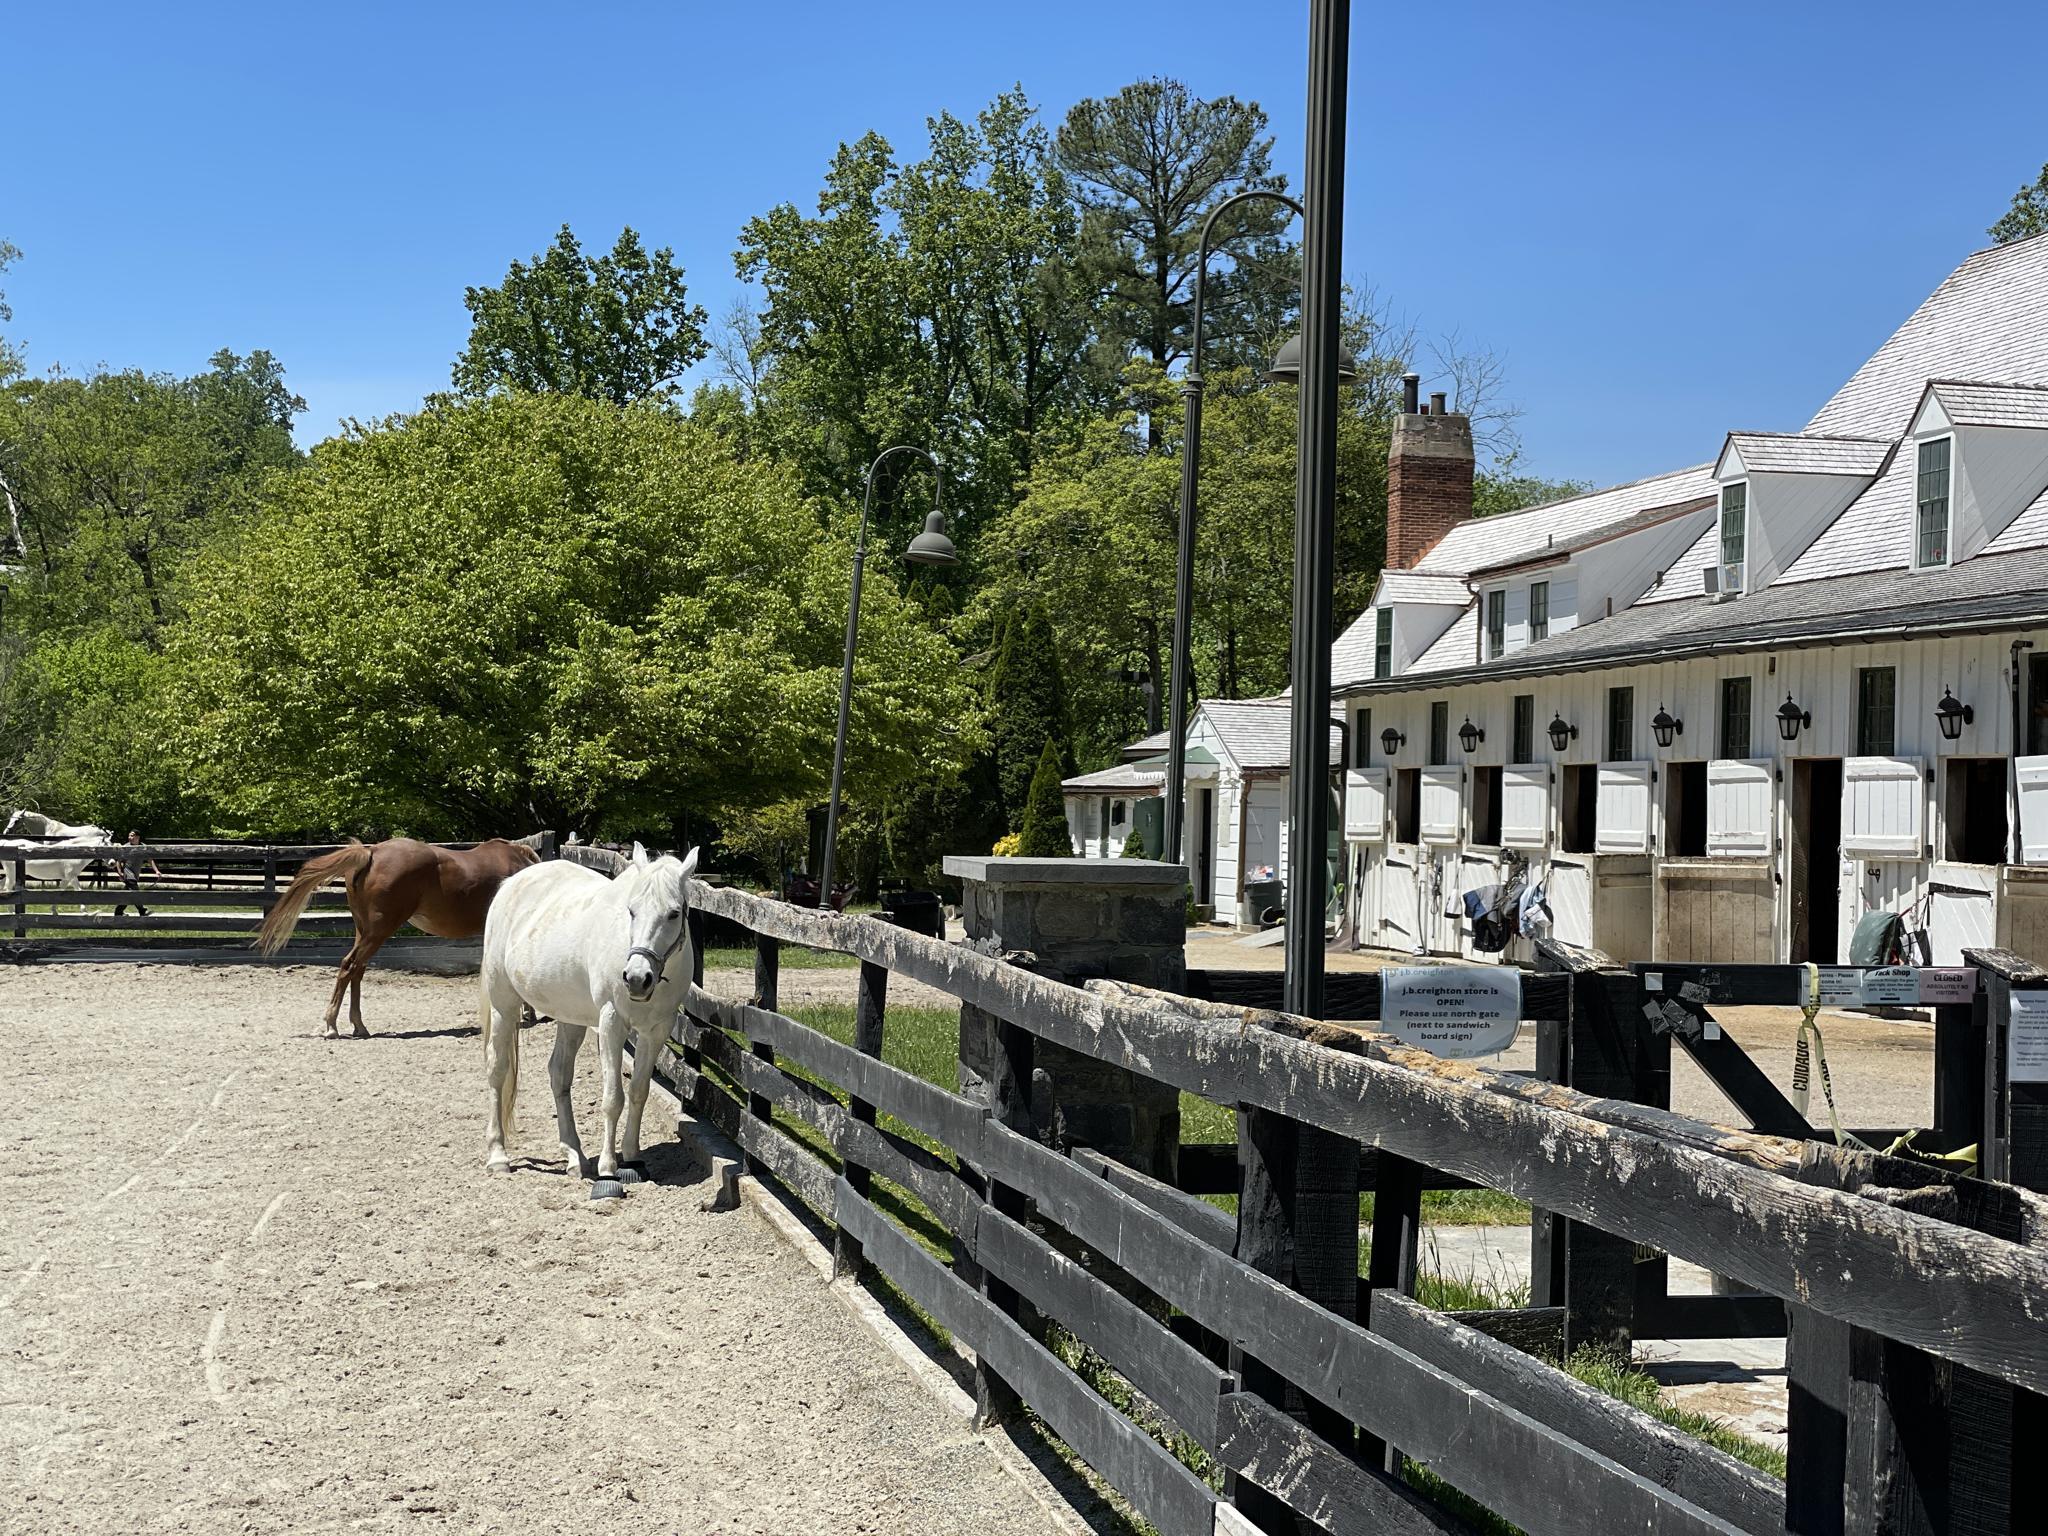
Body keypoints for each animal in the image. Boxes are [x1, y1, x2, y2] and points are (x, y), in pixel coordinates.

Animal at [256, 836, 542, 1038]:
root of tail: (371, 853)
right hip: (377, 931)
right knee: (350, 966)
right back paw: (331, 1026)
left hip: (365, 932)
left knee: (357, 970)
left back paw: (359, 1025)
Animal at [479, 842, 699, 1182]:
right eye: (631, 911)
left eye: (674, 913)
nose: (637, 978)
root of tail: (510, 885)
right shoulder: (611, 1023)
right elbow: (613, 1098)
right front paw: (608, 1166)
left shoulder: (657, 1030)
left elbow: (639, 1091)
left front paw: (633, 1157)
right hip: (504, 1006)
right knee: (497, 1070)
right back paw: (498, 1155)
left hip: (569, 1018)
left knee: (559, 1074)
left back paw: (575, 1156)